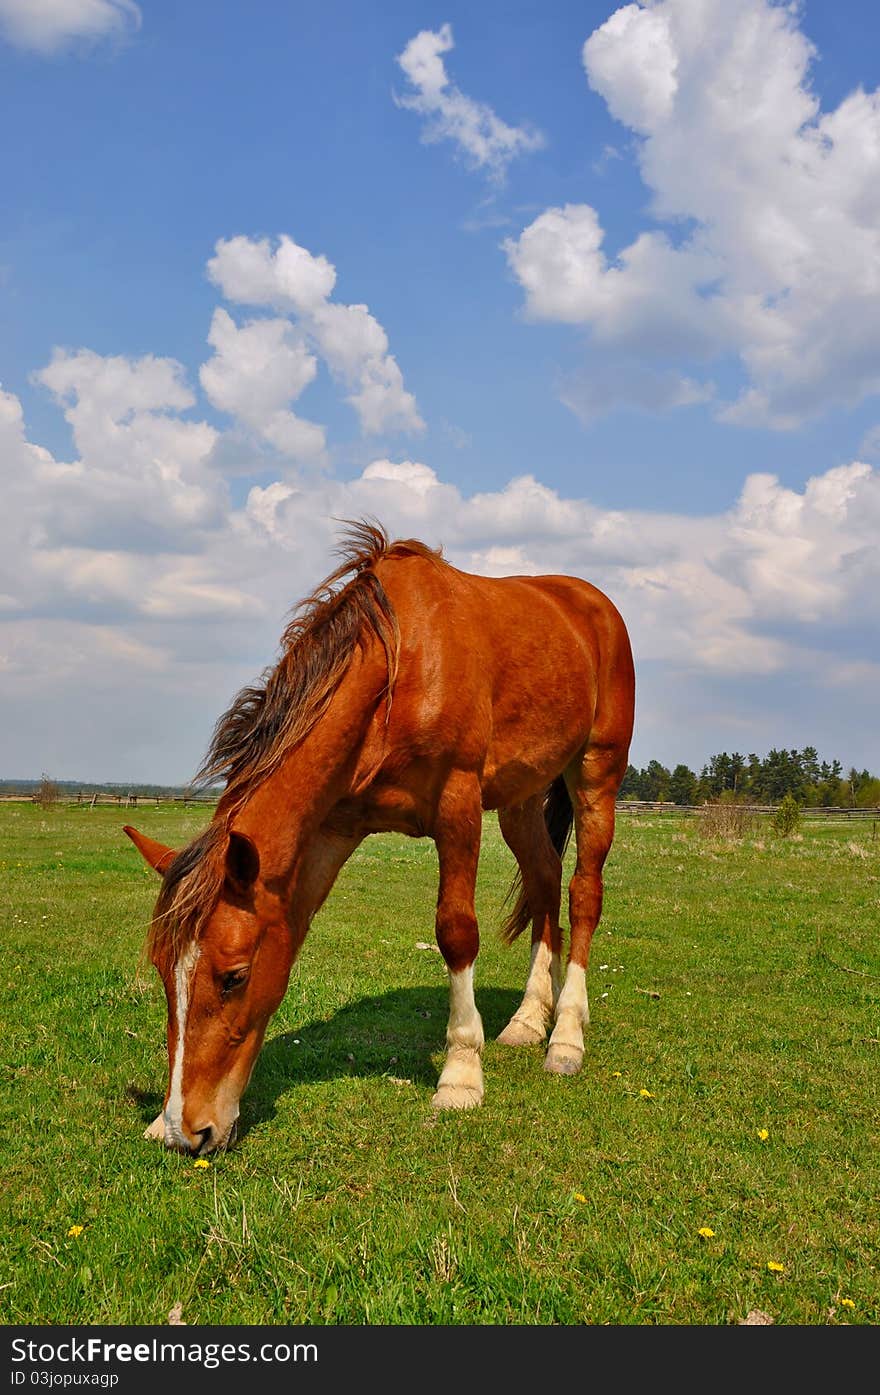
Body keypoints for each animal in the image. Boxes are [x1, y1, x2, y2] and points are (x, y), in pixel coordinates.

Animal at [124, 524, 633, 1155]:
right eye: (164, 970)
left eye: (233, 976)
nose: (186, 1130)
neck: (398, 668)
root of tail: (593, 604)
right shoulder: (328, 834)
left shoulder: (458, 804)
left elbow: (456, 932)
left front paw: (460, 1074)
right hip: (521, 798)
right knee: (544, 884)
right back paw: (527, 1020)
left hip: (596, 777)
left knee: (583, 895)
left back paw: (565, 1036)